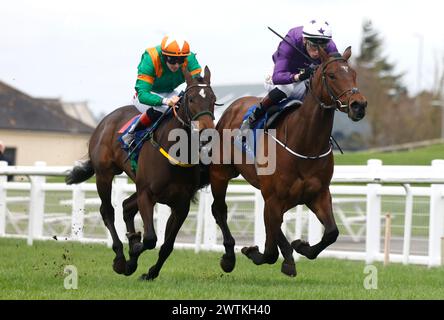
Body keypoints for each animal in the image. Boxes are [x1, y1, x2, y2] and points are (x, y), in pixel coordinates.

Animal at [66, 67, 217, 280]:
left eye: (213, 99)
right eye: (191, 99)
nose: (207, 133)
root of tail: (105, 120)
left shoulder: (181, 204)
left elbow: (167, 245)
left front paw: (149, 271)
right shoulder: (146, 194)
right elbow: (151, 239)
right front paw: (132, 253)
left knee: (126, 206)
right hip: (104, 174)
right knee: (107, 211)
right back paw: (120, 257)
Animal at [211, 46, 368, 276]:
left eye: (354, 74)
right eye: (332, 75)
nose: (359, 105)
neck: (305, 144)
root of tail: (235, 105)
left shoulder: (318, 194)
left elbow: (331, 232)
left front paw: (301, 246)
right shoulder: (274, 197)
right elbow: (269, 251)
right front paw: (256, 252)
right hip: (221, 173)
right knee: (220, 209)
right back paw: (229, 257)